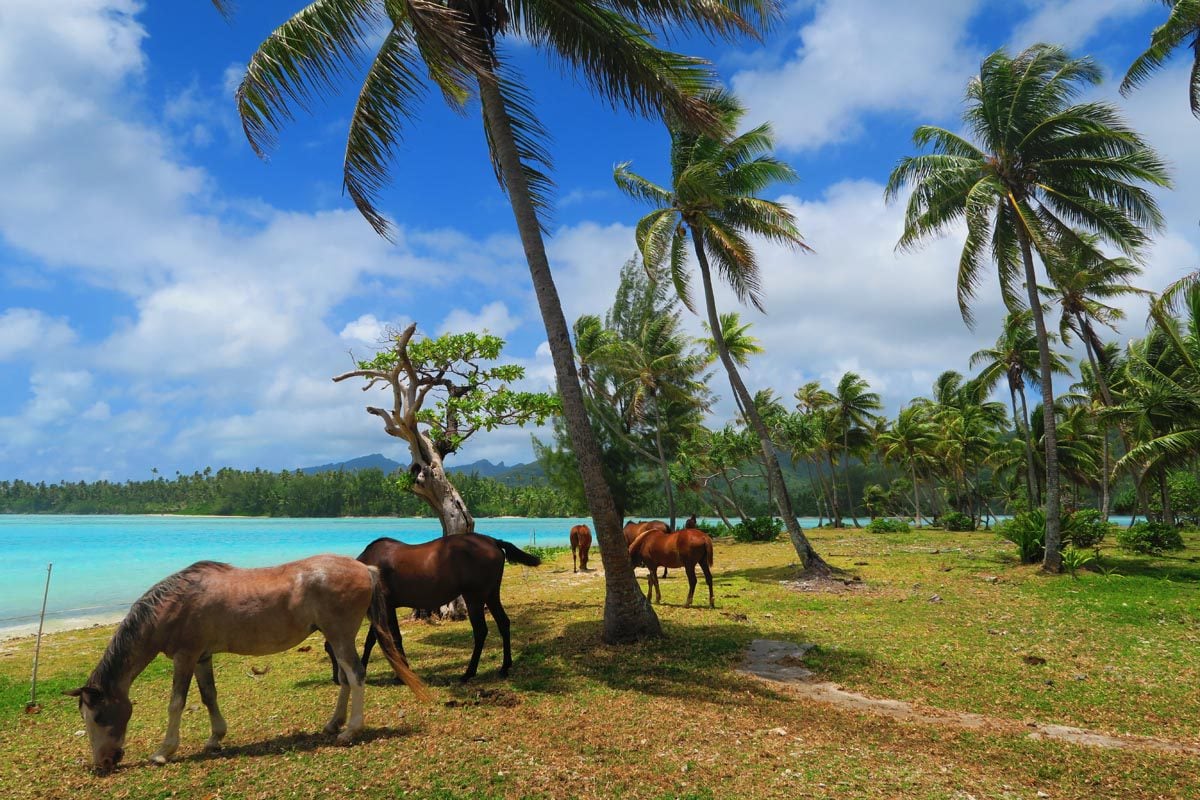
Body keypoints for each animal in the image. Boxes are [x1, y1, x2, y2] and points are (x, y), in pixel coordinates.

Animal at [66, 556, 427, 777]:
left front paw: (164, 751)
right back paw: (333, 724)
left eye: (97, 717)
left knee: (356, 675)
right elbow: (209, 696)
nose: (103, 763)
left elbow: (176, 703)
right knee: (345, 678)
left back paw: (350, 730)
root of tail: (365, 569)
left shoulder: (185, 656)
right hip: (335, 637)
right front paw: (215, 738)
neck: (173, 603)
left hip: (340, 635)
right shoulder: (202, 657)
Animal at [324, 534, 540, 686]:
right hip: (491, 595)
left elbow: (392, 638)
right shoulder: (384, 607)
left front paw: (402, 675)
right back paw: (504, 667)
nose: (336, 679)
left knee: (480, 632)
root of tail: (494, 542)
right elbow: (374, 639)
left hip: (474, 597)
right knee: (504, 623)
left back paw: (469, 673)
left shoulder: (385, 605)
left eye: (329, 649)